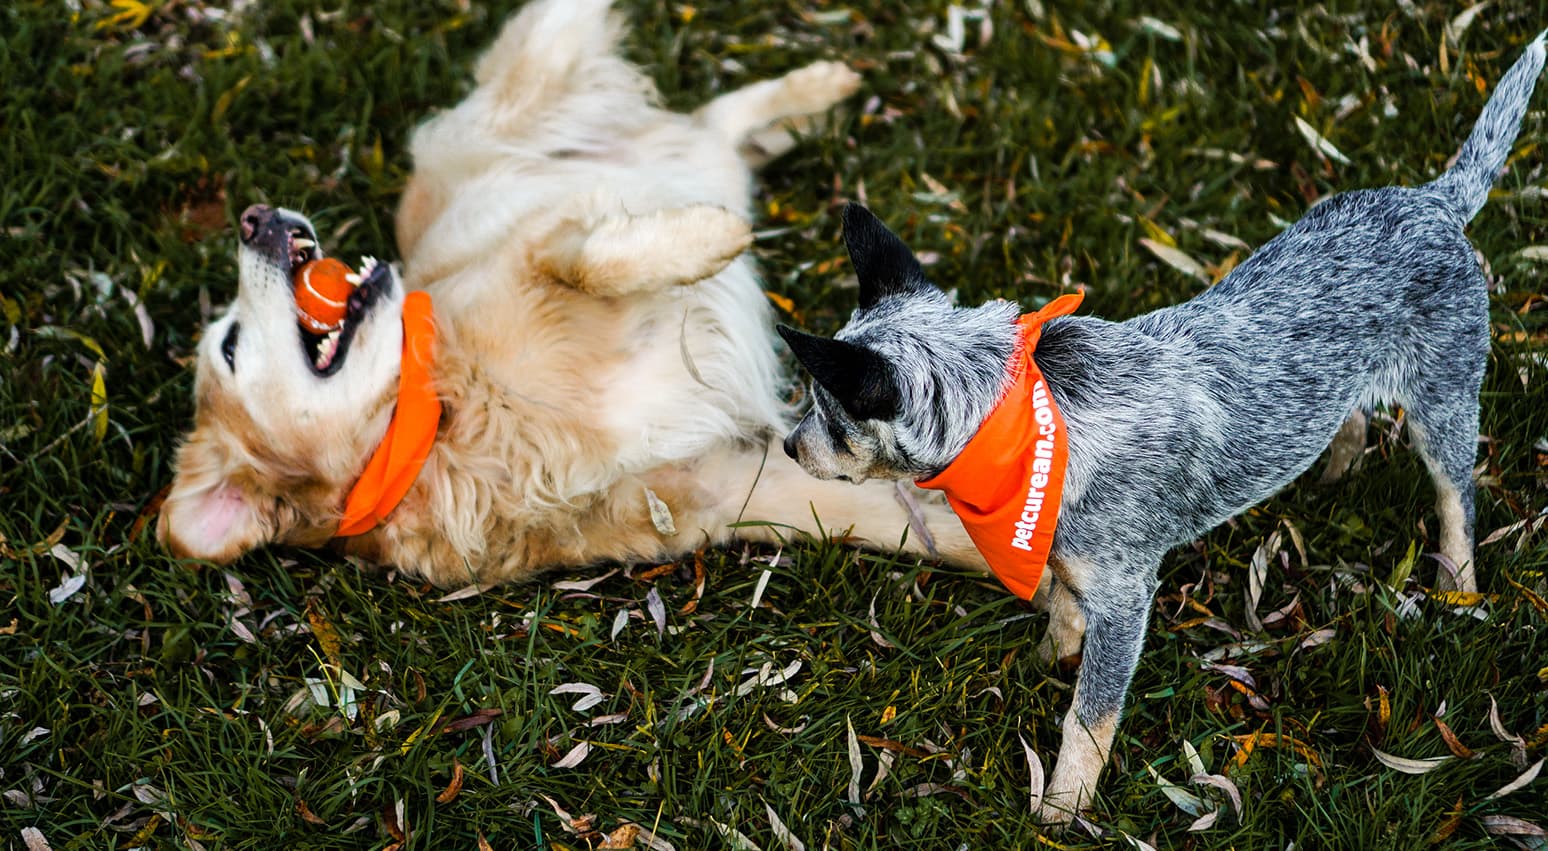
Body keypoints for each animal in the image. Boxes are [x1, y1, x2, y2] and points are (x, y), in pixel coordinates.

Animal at [780, 33, 1541, 829]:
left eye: (829, 413)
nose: (790, 444)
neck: (1027, 419)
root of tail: (1434, 201)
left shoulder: (1125, 595)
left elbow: (1089, 718)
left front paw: (1061, 810)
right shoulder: (1068, 557)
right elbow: (1061, 613)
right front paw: (1045, 662)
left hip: (1444, 402)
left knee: (1456, 497)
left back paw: (1457, 586)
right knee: (1350, 413)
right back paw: (1331, 469)